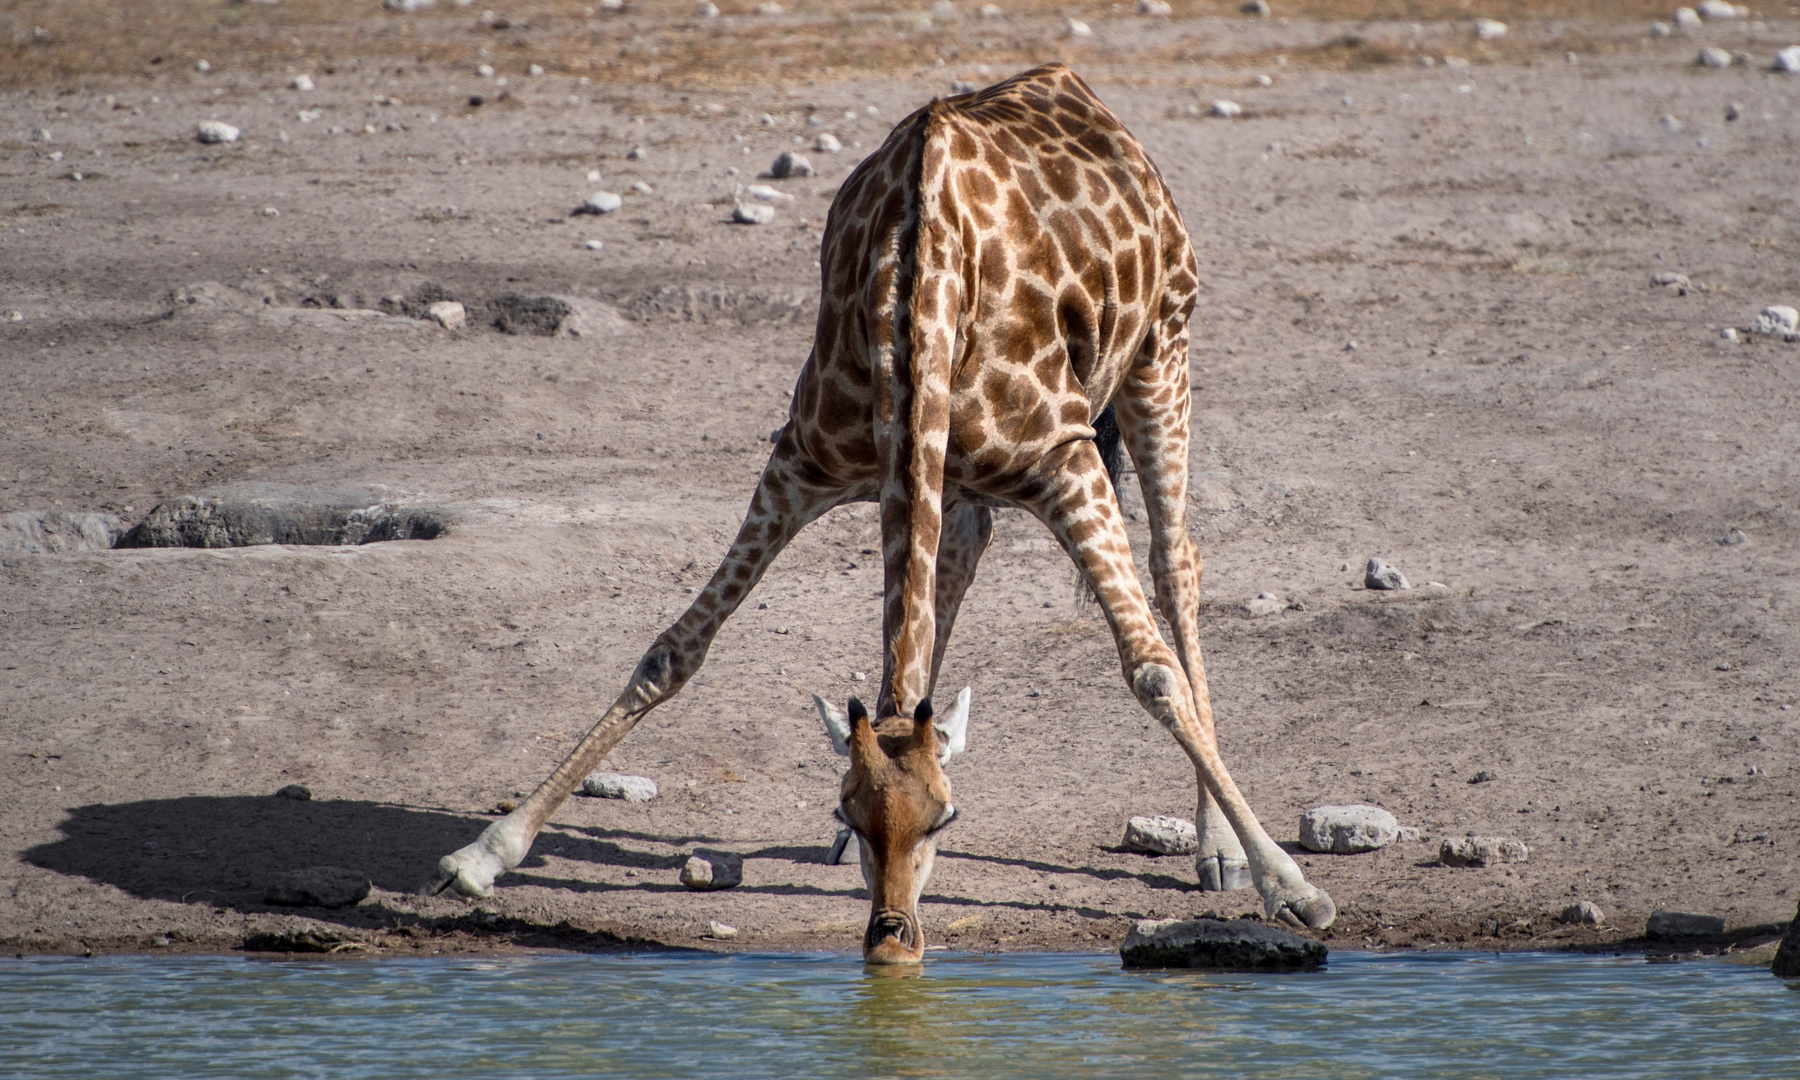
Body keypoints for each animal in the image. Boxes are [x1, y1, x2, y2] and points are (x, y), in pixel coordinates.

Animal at [428, 65, 1339, 964]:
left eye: (947, 819)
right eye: (851, 811)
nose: (891, 941)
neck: (915, 292)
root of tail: (1080, 91)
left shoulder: (1066, 459)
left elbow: (1152, 671)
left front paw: (1292, 886)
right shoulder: (801, 461)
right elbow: (673, 651)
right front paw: (484, 853)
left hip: (1162, 350)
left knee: (1175, 563)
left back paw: (1216, 849)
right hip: (964, 466)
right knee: (962, 557)